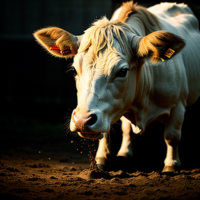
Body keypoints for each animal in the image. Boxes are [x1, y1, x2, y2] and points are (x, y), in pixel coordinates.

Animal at [33, 0, 200, 173]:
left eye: (122, 71)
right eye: (74, 69)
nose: (82, 120)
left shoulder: (178, 105)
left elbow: (172, 136)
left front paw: (171, 165)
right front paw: (102, 159)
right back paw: (124, 154)